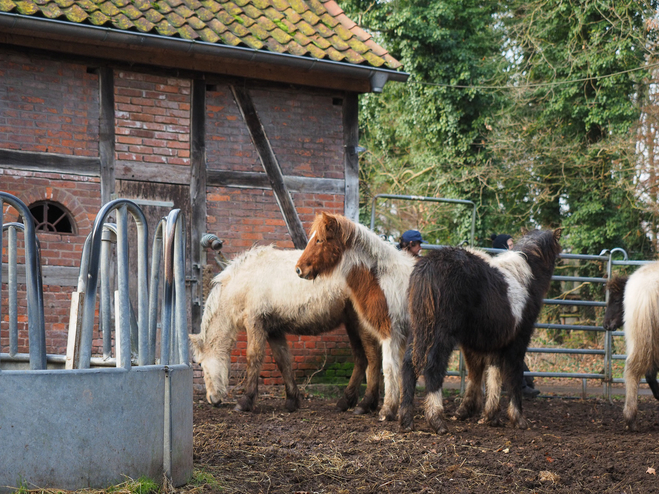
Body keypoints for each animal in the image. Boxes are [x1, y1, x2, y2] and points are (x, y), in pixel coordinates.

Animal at [296, 212, 416, 420]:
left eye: (319, 240)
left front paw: (387, 410)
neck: (382, 279)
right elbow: (399, 370)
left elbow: (388, 368)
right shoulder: (400, 335)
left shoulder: (390, 333)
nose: (298, 269)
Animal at [400, 228, 564, 432]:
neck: (525, 276)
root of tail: (429, 266)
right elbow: (513, 375)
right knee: (433, 366)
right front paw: (517, 418)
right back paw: (436, 419)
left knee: (409, 364)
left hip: (418, 330)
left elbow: (483, 373)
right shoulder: (518, 341)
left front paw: (482, 413)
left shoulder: (483, 342)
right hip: (441, 334)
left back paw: (406, 419)